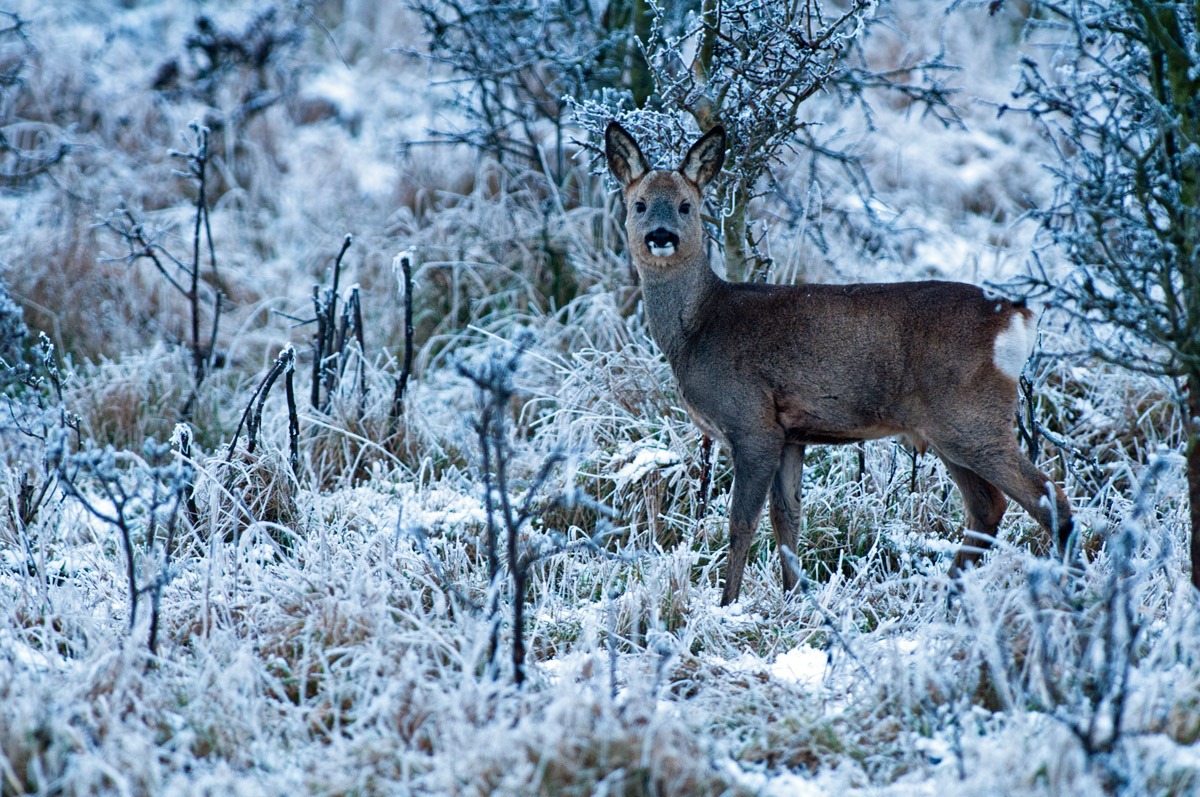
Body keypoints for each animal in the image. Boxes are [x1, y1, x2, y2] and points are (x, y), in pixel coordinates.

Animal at [604, 121, 1074, 606]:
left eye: (686, 205)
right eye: (639, 204)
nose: (661, 235)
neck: (698, 327)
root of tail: (1018, 317)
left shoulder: (752, 422)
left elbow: (741, 524)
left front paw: (727, 605)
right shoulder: (791, 433)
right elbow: (787, 519)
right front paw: (793, 600)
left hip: (971, 416)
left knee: (1048, 497)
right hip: (947, 429)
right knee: (987, 508)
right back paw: (949, 595)